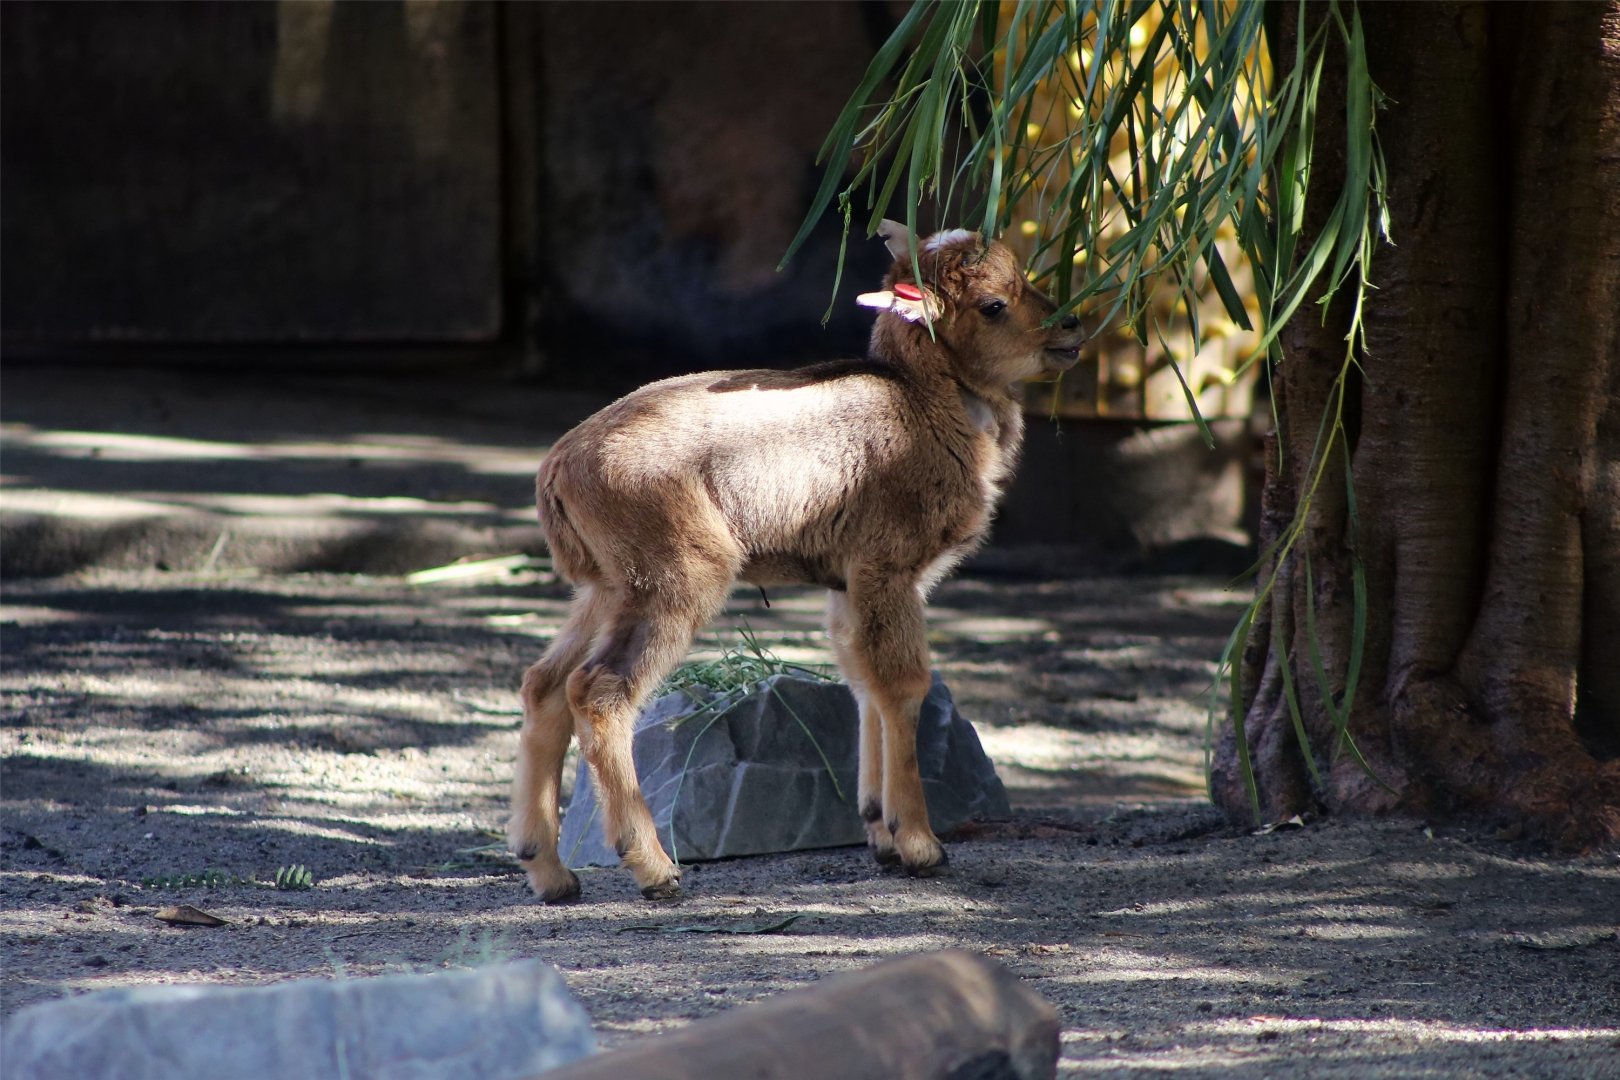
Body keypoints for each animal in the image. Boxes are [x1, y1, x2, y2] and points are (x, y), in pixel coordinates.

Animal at [508, 221, 1084, 901]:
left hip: (607, 586)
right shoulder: (888, 567)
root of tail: (557, 469)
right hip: (676, 576)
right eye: (994, 303)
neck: (925, 407)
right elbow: (904, 684)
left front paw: (880, 834)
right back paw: (655, 868)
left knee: (544, 683)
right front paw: (921, 846)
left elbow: (862, 680)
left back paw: (549, 872)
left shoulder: (848, 582)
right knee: (599, 691)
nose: (1072, 327)